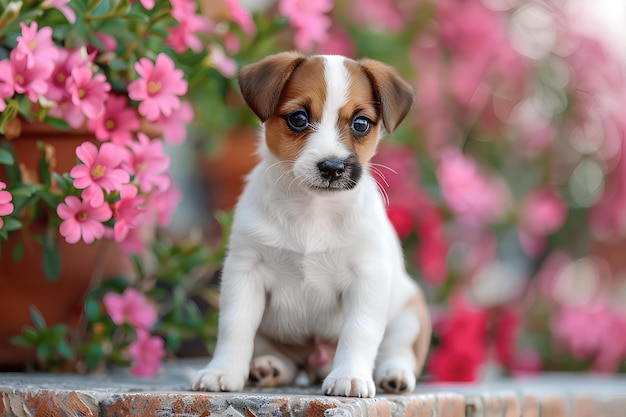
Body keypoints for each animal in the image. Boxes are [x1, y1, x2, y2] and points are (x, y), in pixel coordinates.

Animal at [190, 52, 432, 396]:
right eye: (298, 118)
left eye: (361, 124)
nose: (332, 167)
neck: (313, 210)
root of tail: (315, 361)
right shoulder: (245, 271)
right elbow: (234, 326)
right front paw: (222, 371)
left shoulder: (367, 277)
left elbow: (359, 331)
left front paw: (349, 376)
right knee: (284, 359)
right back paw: (268, 367)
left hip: (409, 314)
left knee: (397, 351)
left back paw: (393, 375)